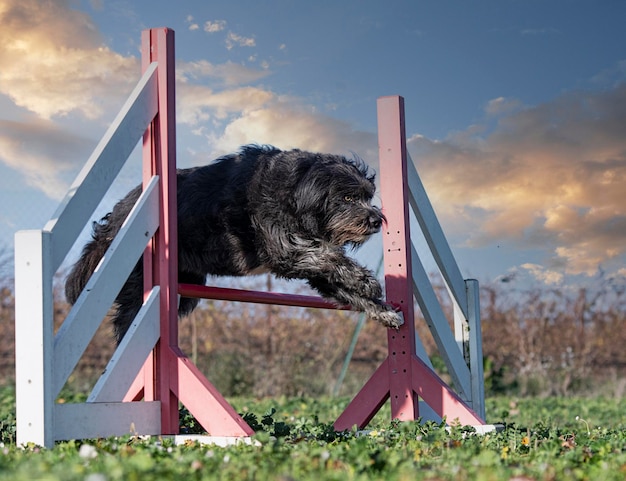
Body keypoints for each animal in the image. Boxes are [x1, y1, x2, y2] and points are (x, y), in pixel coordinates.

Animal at [66, 143, 402, 342]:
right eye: (347, 198)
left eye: (367, 196)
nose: (377, 220)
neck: (297, 191)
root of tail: (119, 214)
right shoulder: (285, 249)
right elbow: (326, 255)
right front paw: (366, 280)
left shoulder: (313, 271)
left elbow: (342, 285)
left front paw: (383, 310)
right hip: (140, 282)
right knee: (127, 317)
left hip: (186, 288)